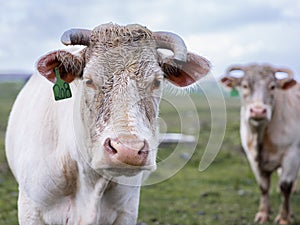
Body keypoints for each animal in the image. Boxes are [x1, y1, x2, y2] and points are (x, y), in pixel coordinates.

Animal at [220, 63, 300, 225]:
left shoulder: (292, 154)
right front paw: (263, 214)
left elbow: (285, 186)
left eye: (273, 86)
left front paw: (284, 217)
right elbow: (263, 186)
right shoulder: (253, 157)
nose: (258, 111)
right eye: (245, 85)